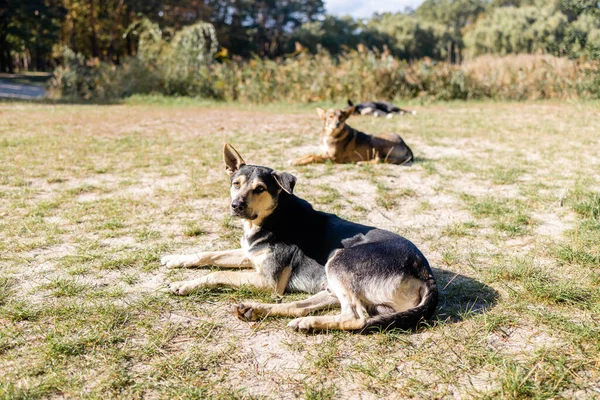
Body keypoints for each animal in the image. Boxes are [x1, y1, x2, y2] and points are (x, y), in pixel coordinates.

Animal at [162, 144, 438, 332]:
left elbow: (217, 273)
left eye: (260, 189)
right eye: (236, 183)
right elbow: (209, 254)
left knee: (356, 317)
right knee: (299, 305)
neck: (273, 216)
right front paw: (175, 261)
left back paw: (308, 323)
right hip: (330, 286)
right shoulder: (250, 254)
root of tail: (425, 272)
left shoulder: (269, 280)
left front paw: (184, 282)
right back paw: (257, 310)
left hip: (339, 262)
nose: (236, 205)